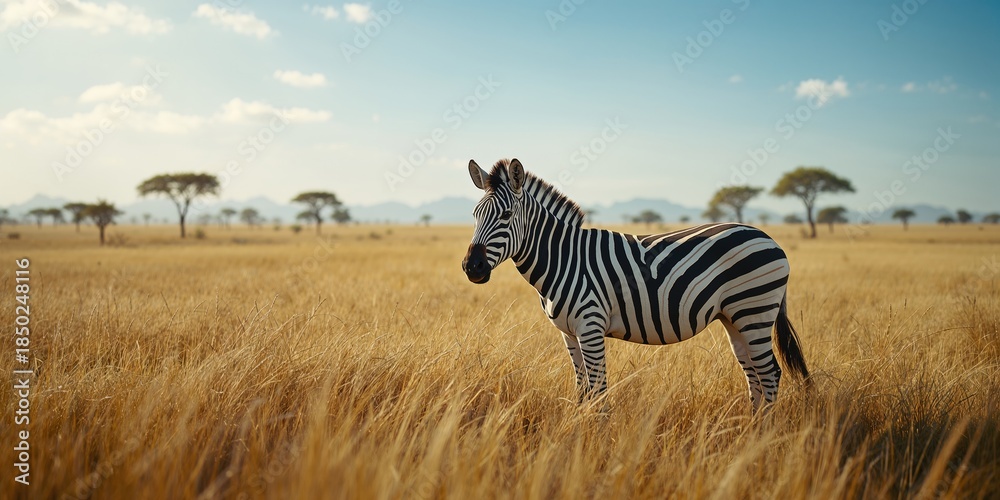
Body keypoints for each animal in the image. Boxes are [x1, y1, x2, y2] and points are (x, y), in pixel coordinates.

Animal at [461, 158, 809, 411]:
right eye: (475, 215)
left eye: (506, 215)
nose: (471, 267)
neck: (563, 258)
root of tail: (769, 238)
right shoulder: (568, 334)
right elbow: (582, 390)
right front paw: (577, 433)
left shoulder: (590, 326)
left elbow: (598, 392)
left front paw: (596, 442)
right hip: (734, 318)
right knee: (754, 375)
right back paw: (751, 433)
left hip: (754, 311)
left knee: (770, 373)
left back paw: (763, 438)